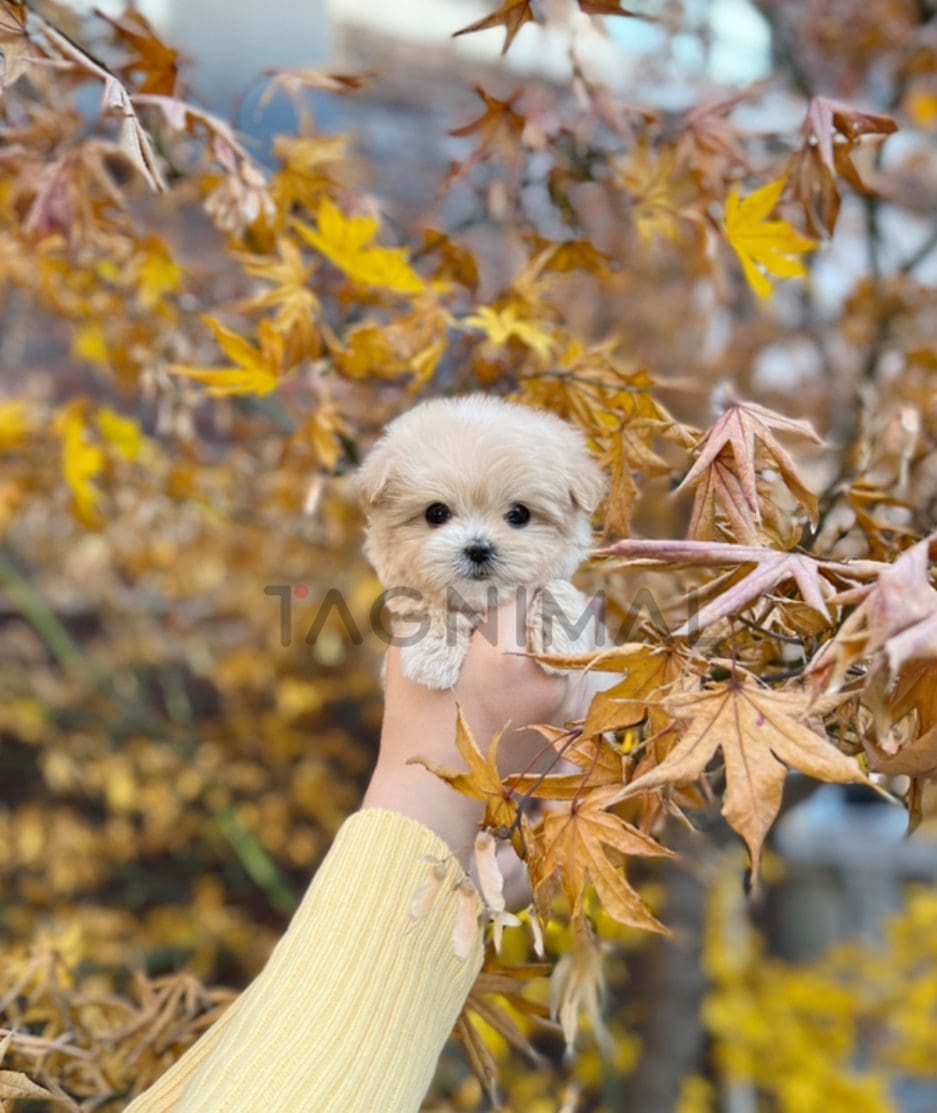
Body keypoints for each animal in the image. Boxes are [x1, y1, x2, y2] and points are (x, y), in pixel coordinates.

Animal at [358, 391, 605, 685]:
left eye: (519, 514)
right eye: (436, 513)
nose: (478, 549)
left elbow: (555, 587)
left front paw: (559, 639)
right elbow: (429, 603)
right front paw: (434, 653)